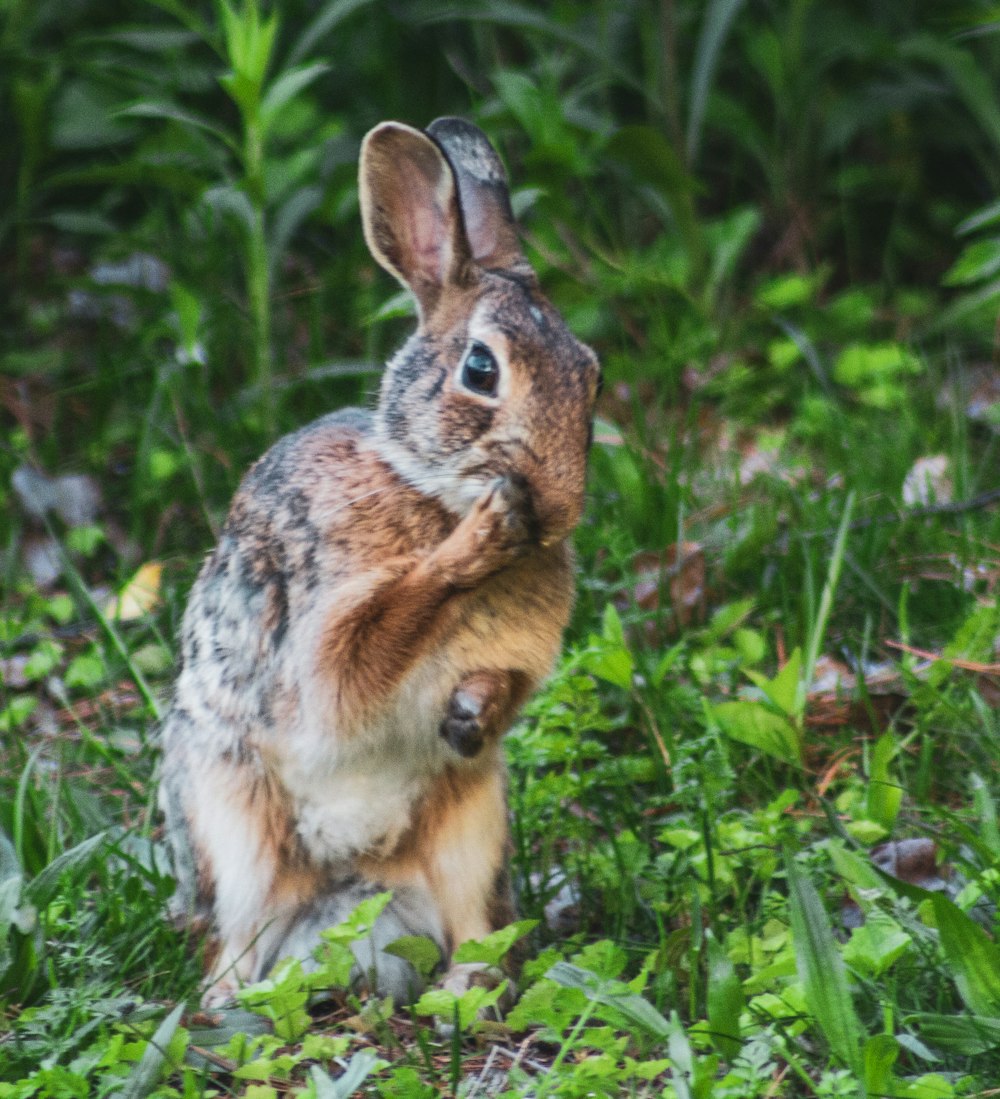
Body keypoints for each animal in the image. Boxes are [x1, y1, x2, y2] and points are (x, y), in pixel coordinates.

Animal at [158, 115, 602, 1006]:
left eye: (592, 378)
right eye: (480, 369)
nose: (555, 506)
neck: (425, 485)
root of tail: (350, 893)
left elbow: (498, 687)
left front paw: (469, 715)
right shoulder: (322, 637)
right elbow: (366, 647)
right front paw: (486, 533)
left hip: (474, 826)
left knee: (473, 925)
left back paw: (469, 990)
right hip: (230, 824)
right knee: (232, 937)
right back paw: (232, 1000)